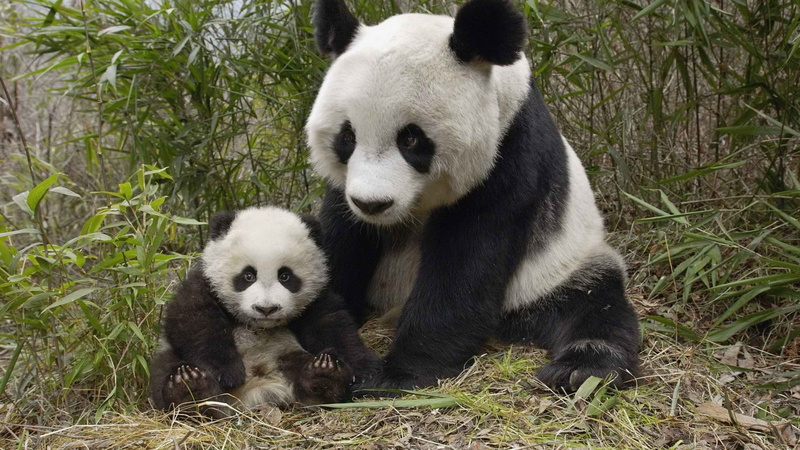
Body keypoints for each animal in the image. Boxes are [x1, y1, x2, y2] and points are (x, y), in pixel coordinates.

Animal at [149, 206, 379, 416]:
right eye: (248, 275)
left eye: (285, 276)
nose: (266, 308)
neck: (258, 326)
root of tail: (256, 391)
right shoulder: (204, 282)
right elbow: (193, 320)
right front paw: (227, 372)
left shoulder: (316, 297)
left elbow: (332, 324)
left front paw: (365, 369)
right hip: (171, 358)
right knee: (165, 368)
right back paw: (190, 390)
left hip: (286, 354)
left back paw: (325, 377)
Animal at [305, 0, 640, 393]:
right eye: (347, 137)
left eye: (411, 139)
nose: (372, 204)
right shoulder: (344, 191)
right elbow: (340, 242)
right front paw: (332, 354)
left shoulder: (510, 155)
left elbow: (465, 264)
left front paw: (396, 373)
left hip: (559, 267)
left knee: (594, 303)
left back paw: (581, 368)